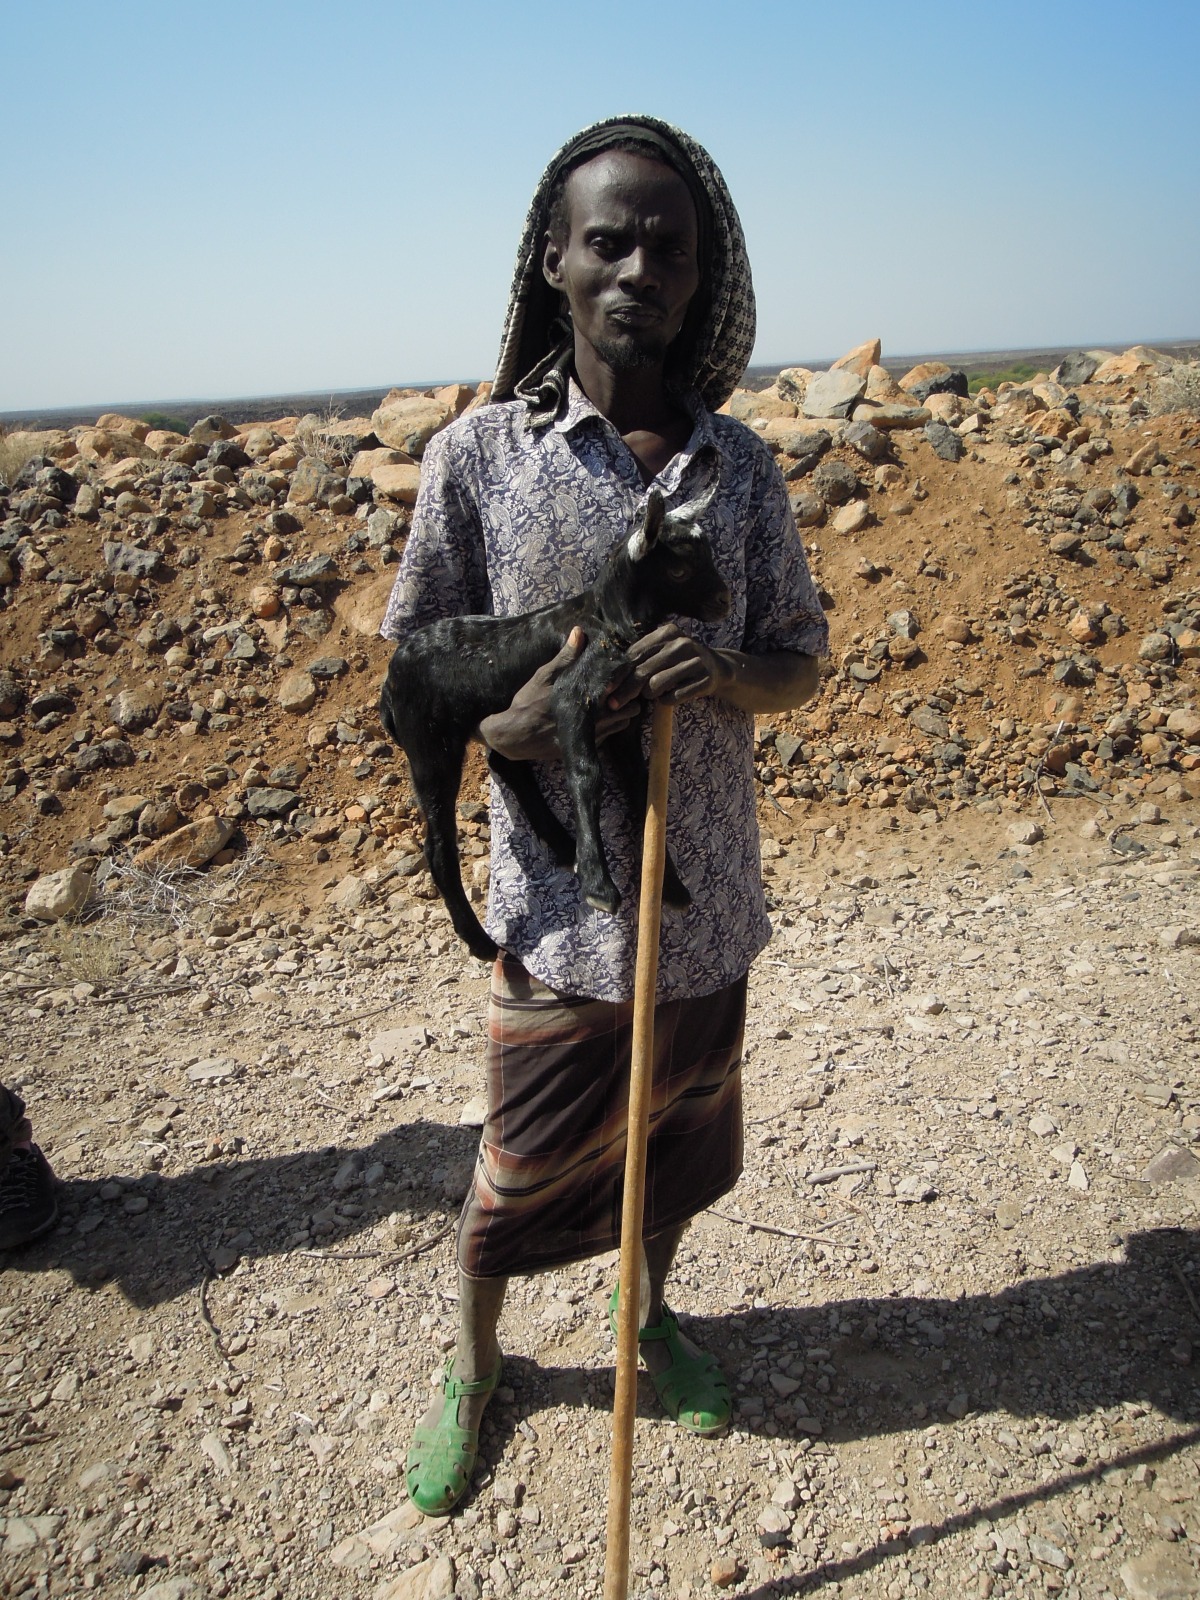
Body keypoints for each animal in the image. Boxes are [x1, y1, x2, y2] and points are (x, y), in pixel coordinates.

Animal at [379, 486, 731, 961]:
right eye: (678, 570)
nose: (724, 601)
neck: (607, 619)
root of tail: (389, 684)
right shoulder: (570, 697)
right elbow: (585, 773)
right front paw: (600, 887)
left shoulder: (623, 723)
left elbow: (643, 793)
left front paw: (669, 887)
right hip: (429, 743)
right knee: (438, 844)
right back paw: (480, 941)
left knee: (503, 762)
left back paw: (565, 846)